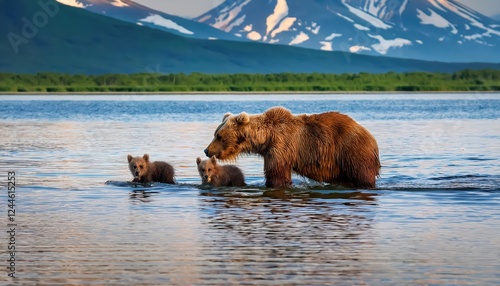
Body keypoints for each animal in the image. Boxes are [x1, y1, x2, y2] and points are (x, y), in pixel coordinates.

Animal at [203, 106, 378, 189]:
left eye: (219, 136)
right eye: (215, 133)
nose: (206, 150)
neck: (265, 138)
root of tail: (371, 137)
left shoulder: (281, 148)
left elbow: (277, 175)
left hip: (352, 151)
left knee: (362, 175)